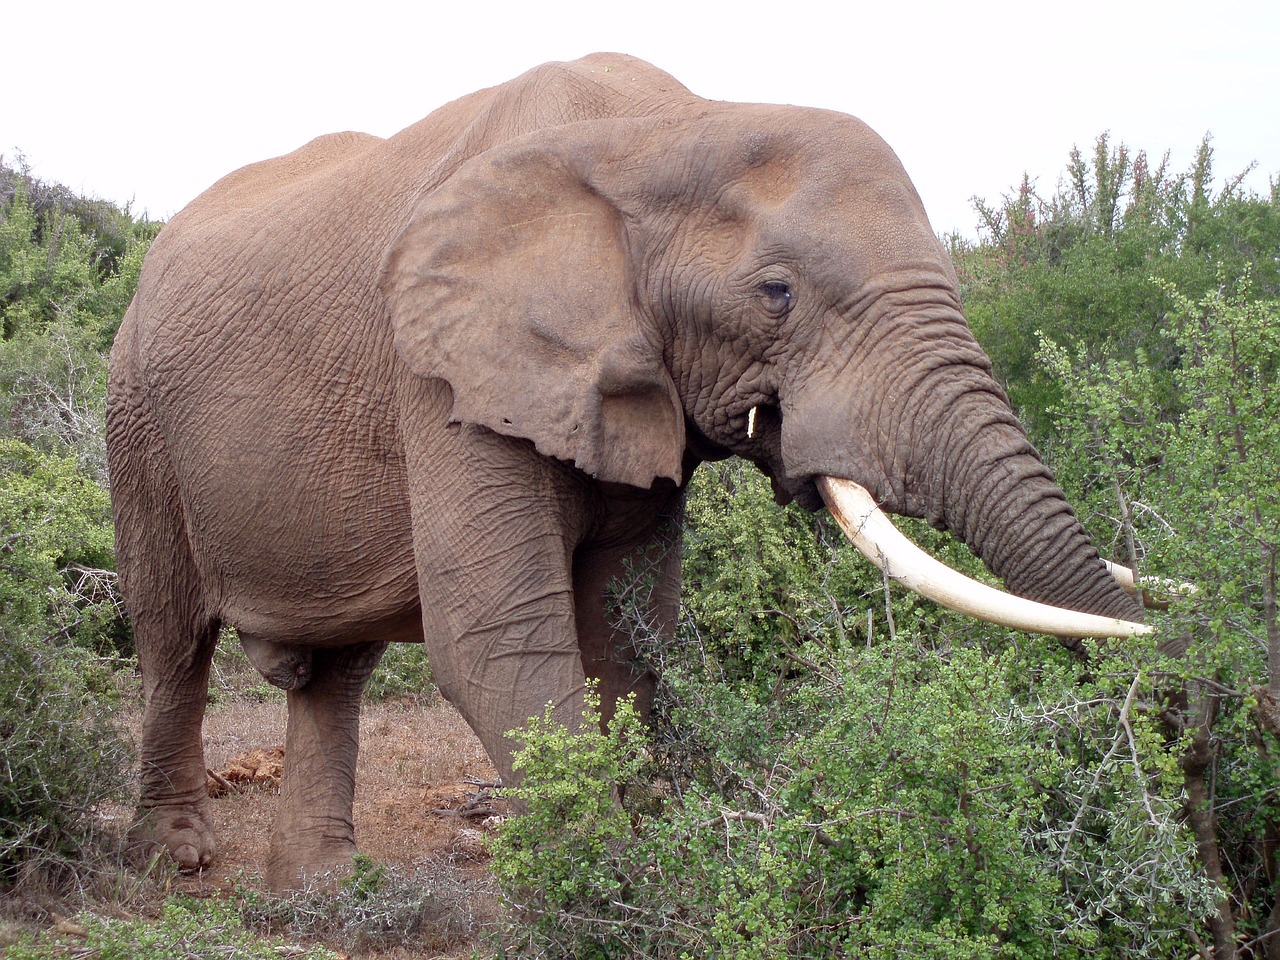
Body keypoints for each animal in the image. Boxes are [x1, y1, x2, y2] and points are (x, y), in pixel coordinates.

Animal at [107, 54, 1152, 896]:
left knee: (335, 670)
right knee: (171, 640)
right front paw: (609, 889)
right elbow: (498, 640)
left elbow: (630, 637)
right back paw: (177, 862)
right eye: (776, 293)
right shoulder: (446, 371)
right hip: (136, 420)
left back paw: (319, 894)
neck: (665, 129)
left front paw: (643, 855)